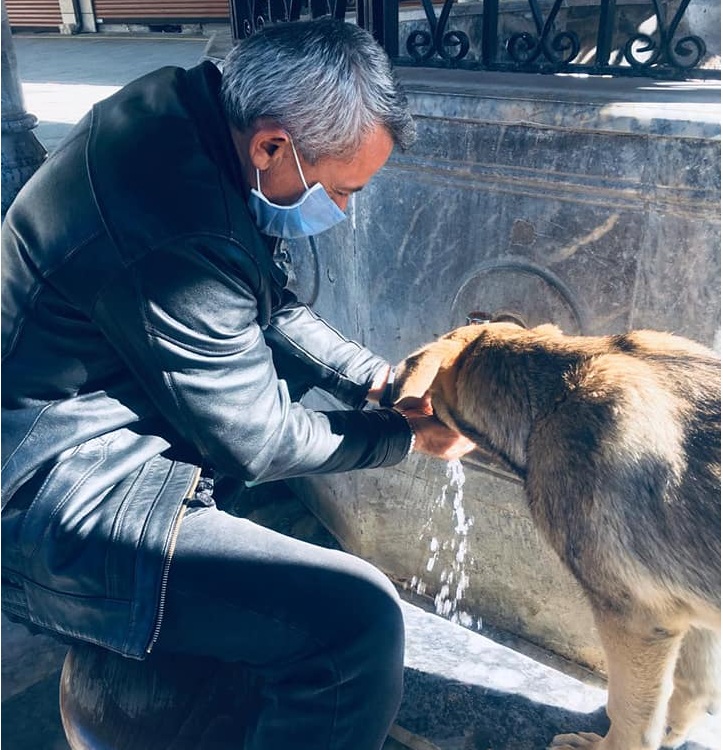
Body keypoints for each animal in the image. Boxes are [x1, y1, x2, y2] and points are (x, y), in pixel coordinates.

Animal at [394, 322, 720, 750]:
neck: (555, 392)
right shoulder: (690, 604)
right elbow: (692, 687)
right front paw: (672, 733)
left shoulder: (637, 615)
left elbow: (630, 712)